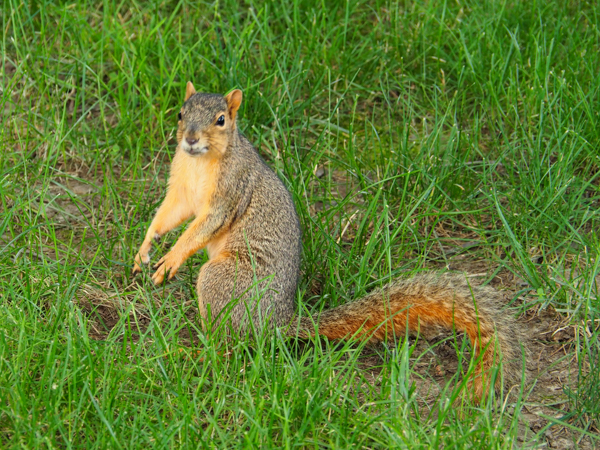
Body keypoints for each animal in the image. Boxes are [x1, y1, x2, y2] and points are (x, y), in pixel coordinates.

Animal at [132, 82, 520, 402]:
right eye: (180, 113)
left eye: (221, 119)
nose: (190, 139)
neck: (201, 162)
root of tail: (277, 321)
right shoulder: (182, 189)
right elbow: (170, 214)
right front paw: (145, 248)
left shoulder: (230, 191)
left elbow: (204, 226)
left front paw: (172, 258)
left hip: (223, 281)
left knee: (232, 345)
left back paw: (198, 352)